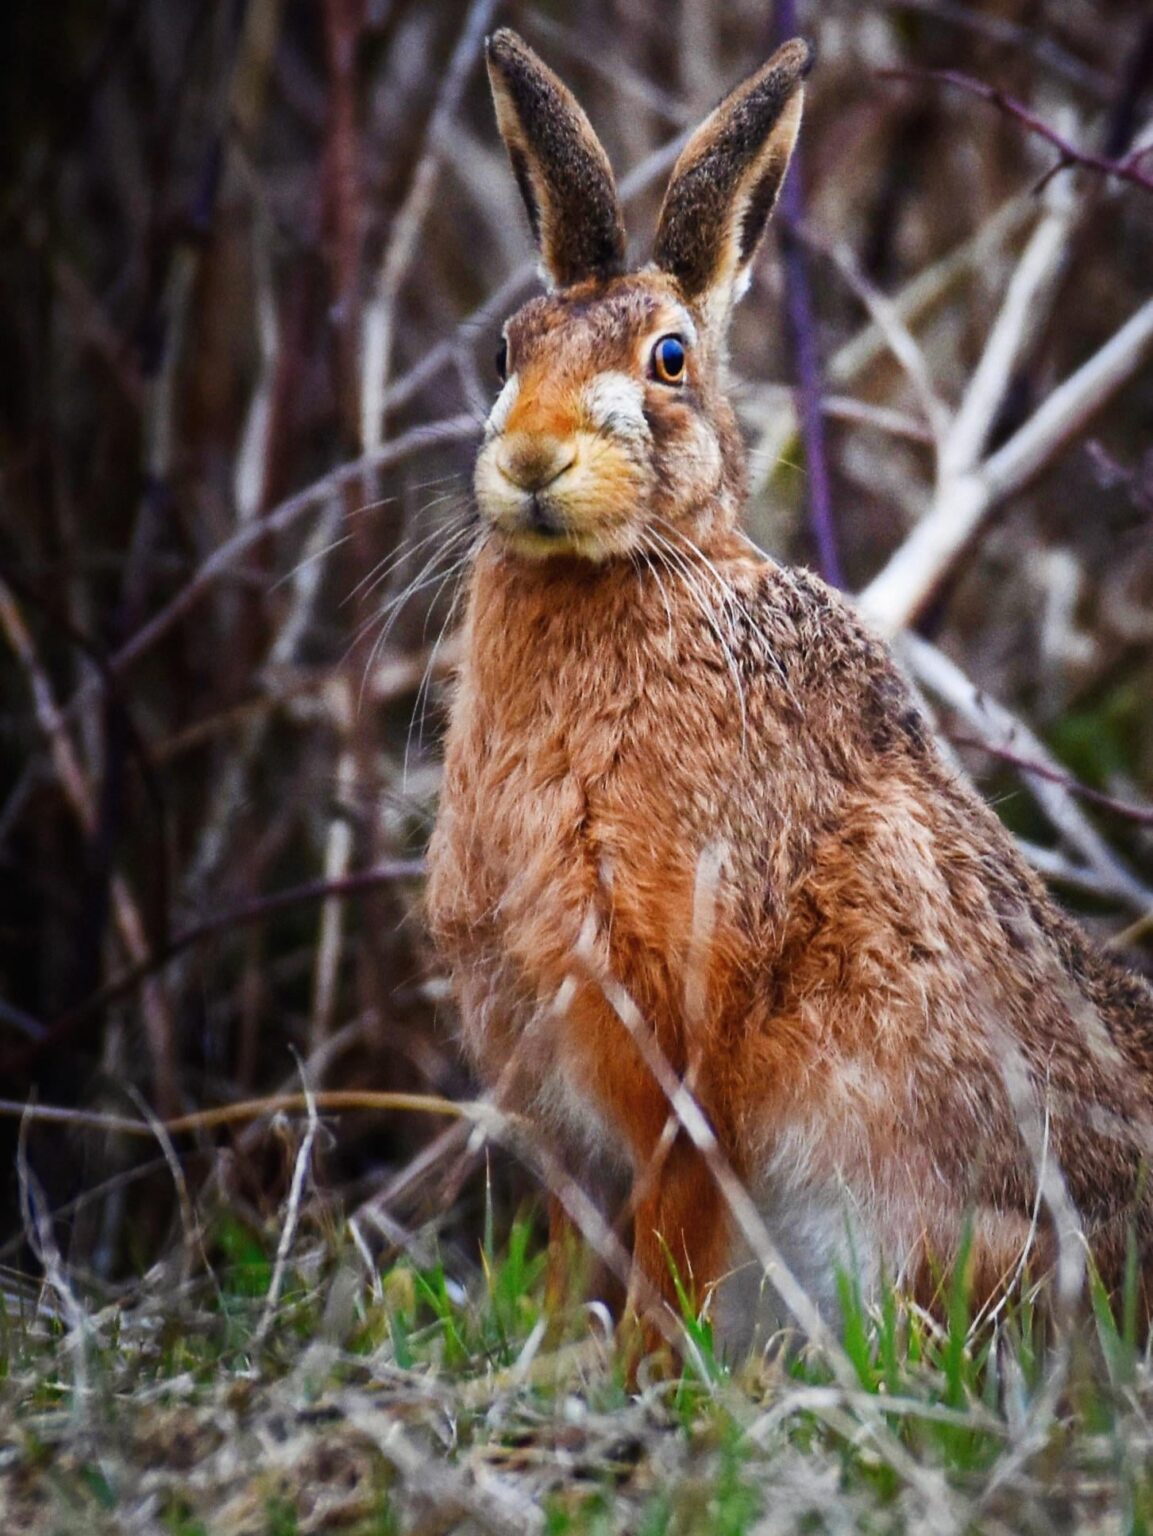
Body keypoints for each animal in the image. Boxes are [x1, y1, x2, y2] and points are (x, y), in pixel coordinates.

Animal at [425, 28, 1153, 1360]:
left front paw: (636, 1374)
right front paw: (554, 1361)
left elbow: (671, 1222)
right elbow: (574, 1239)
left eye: (668, 360)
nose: (533, 460)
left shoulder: (688, 1028)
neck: (635, 573)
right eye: (507, 350)